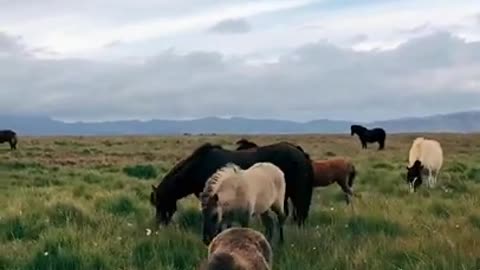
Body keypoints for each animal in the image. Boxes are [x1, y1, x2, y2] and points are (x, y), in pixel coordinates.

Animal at [150, 141, 316, 228]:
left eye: (160, 203)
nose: (158, 224)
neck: (198, 167)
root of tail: (300, 153)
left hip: (297, 194)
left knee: (300, 214)